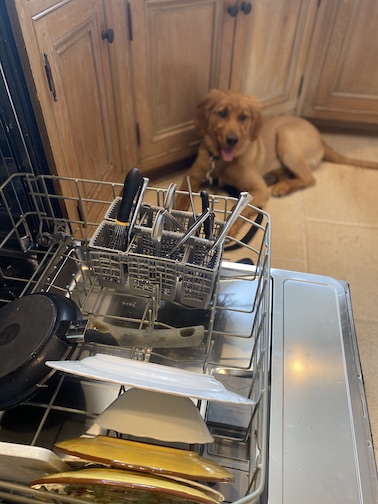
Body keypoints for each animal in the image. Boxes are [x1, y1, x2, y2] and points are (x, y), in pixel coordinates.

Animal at [177, 89, 378, 231]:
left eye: (243, 117)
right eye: (223, 113)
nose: (232, 140)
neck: (221, 162)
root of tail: (320, 137)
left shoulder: (259, 189)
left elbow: (238, 211)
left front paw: (228, 231)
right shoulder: (192, 175)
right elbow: (181, 196)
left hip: (285, 137)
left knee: (309, 178)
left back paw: (282, 186)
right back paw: (274, 177)